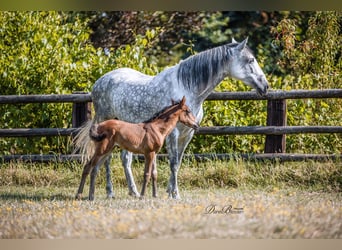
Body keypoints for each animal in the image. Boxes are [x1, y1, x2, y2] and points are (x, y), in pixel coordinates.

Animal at [74, 37, 268, 199]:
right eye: (251, 60)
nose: (265, 86)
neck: (187, 87)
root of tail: (99, 82)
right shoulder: (173, 134)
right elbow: (173, 163)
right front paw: (175, 194)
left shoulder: (187, 134)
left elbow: (178, 163)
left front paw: (169, 191)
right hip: (106, 128)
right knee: (105, 161)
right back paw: (110, 192)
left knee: (125, 159)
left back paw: (134, 192)